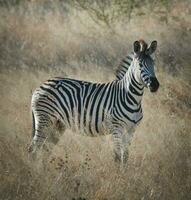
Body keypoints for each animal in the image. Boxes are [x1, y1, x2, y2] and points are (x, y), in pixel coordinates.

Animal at [28, 39, 160, 165]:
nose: (155, 85)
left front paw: (125, 173)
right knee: (33, 150)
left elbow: (125, 156)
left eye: (153, 64)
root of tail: (41, 85)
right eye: (140, 65)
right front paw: (117, 173)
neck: (130, 97)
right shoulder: (117, 128)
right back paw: (35, 172)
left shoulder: (131, 130)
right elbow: (118, 157)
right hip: (44, 119)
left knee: (46, 148)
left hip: (57, 123)